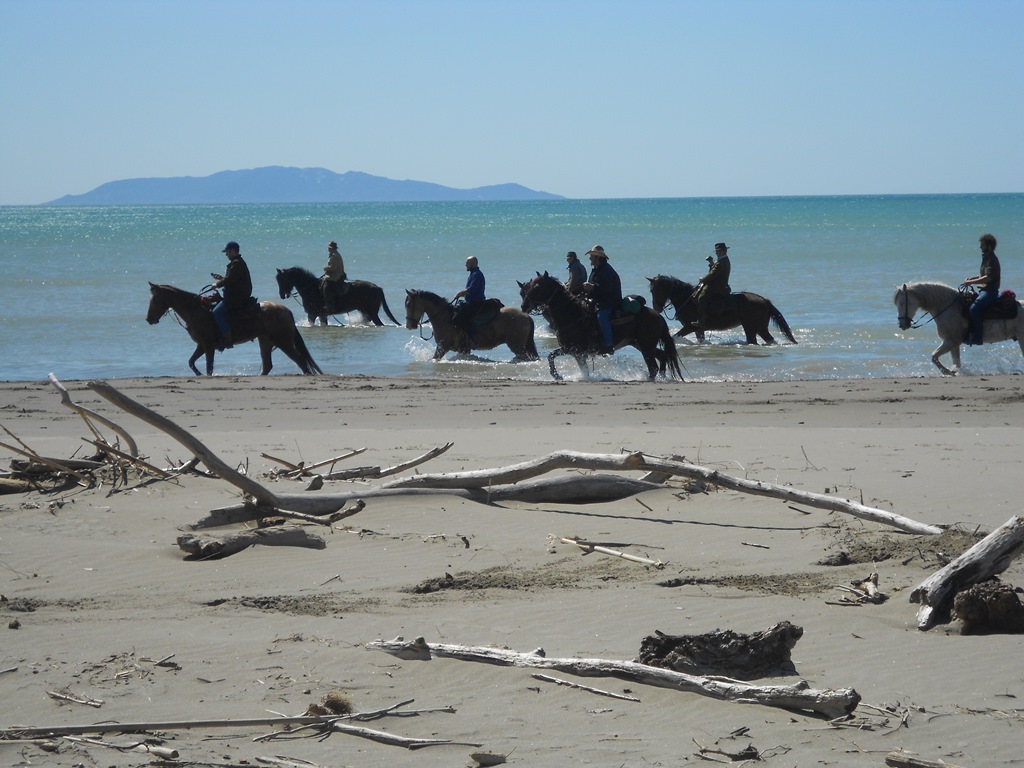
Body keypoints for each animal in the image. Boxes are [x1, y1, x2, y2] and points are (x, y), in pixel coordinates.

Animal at [146, 284, 321, 376]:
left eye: (155, 299)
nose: (149, 319)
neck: (196, 310)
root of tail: (286, 310)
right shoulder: (201, 345)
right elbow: (191, 362)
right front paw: (198, 375)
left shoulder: (208, 346)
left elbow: (209, 367)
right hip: (265, 341)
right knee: (267, 366)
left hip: (283, 341)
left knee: (300, 360)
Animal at [403, 288, 540, 364]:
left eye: (408, 304)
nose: (409, 325)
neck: (444, 317)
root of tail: (526, 316)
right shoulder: (462, 350)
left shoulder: (442, 347)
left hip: (518, 347)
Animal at [516, 272, 684, 382]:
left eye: (538, 286)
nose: (524, 306)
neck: (572, 314)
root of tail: (658, 316)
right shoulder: (576, 352)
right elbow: (557, 358)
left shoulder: (574, 349)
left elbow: (551, 356)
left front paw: (558, 375)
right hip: (640, 344)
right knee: (662, 357)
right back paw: (661, 377)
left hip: (645, 346)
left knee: (653, 366)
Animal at [643, 274, 794, 344]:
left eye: (654, 290)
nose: (656, 308)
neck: (686, 299)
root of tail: (764, 300)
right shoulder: (698, 330)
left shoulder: (689, 327)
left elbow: (675, 336)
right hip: (761, 328)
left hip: (751, 328)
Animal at [888, 282, 1024, 378]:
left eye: (902, 303)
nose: (902, 324)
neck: (949, 308)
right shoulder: (954, 344)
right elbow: (956, 362)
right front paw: (955, 371)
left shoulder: (950, 341)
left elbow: (933, 356)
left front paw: (948, 371)